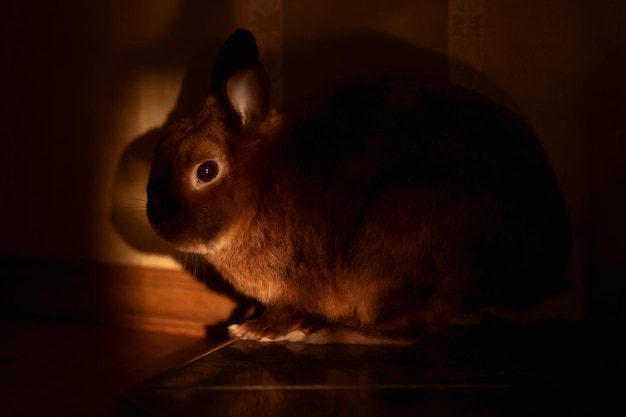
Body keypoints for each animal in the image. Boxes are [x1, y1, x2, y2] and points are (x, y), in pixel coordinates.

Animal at [147, 28, 572, 342]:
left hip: (389, 240)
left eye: (206, 171)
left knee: (412, 325)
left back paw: (341, 331)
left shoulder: (296, 283)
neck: (260, 187)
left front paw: (254, 330)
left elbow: (287, 310)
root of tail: (538, 281)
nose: (156, 220)